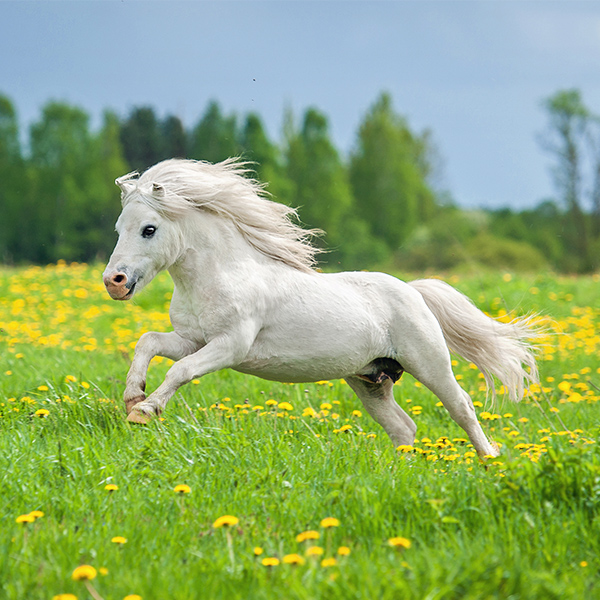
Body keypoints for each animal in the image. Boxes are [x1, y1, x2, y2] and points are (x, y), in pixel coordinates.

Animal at [103, 157, 540, 458]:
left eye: (149, 229)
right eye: (119, 228)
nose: (114, 282)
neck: (223, 274)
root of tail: (413, 291)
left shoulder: (230, 346)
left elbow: (181, 370)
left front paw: (146, 410)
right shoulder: (192, 339)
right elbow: (148, 342)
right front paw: (132, 397)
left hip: (429, 362)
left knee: (462, 407)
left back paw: (489, 460)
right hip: (370, 380)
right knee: (403, 427)